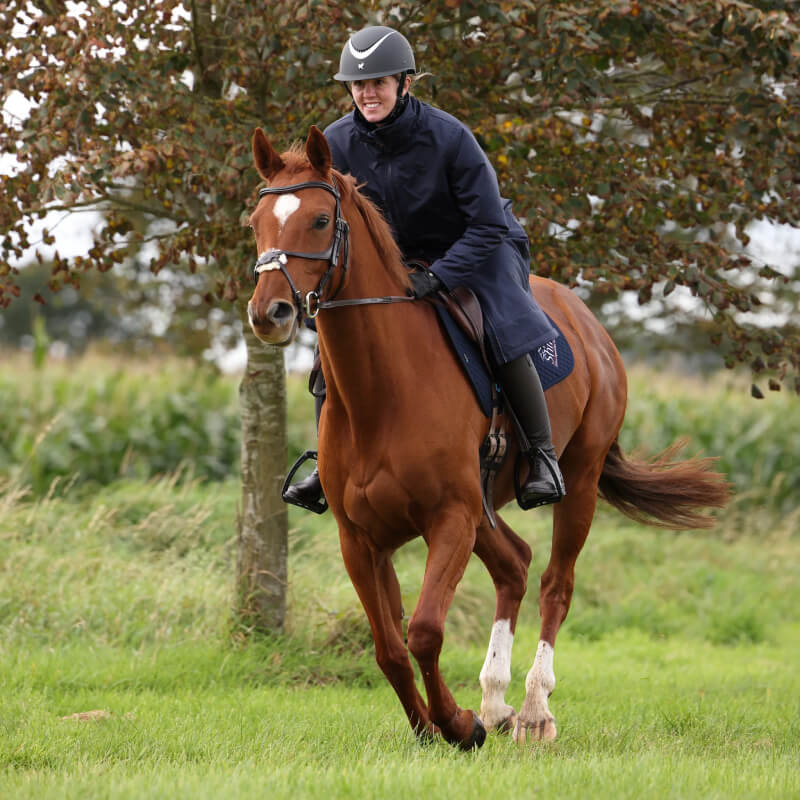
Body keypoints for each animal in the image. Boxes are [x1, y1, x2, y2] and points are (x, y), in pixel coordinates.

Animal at [246, 125, 730, 749]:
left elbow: (425, 631)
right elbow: (389, 648)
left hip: (577, 481)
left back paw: (532, 710)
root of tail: (589, 325)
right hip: (485, 512)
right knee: (515, 565)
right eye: (256, 221)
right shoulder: (362, 539)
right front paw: (433, 725)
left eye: (320, 221)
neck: (383, 391)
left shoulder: (450, 518)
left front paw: (457, 724)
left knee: (554, 583)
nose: (270, 313)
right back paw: (496, 702)